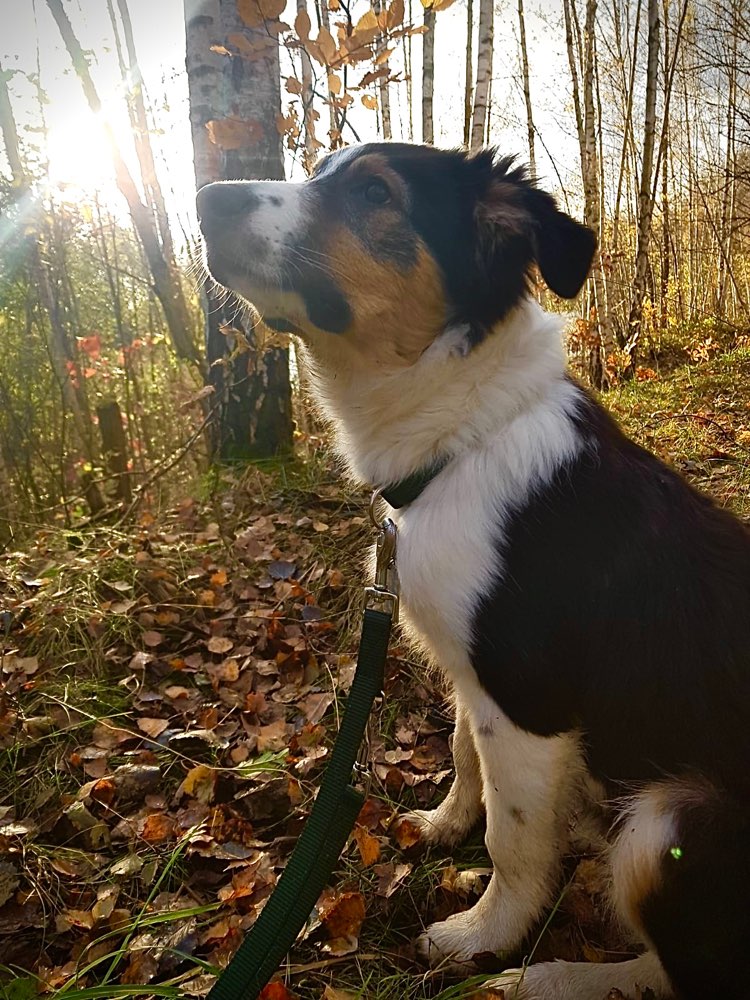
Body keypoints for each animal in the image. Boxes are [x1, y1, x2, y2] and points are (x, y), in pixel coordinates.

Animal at [198, 143, 750, 1000]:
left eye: (374, 192)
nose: (202, 200)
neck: (463, 435)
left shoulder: (525, 696)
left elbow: (513, 837)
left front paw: (482, 936)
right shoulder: (470, 670)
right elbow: (464, 759)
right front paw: (442, 826)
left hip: (671, 822)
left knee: (684, 975)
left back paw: (546, 980)